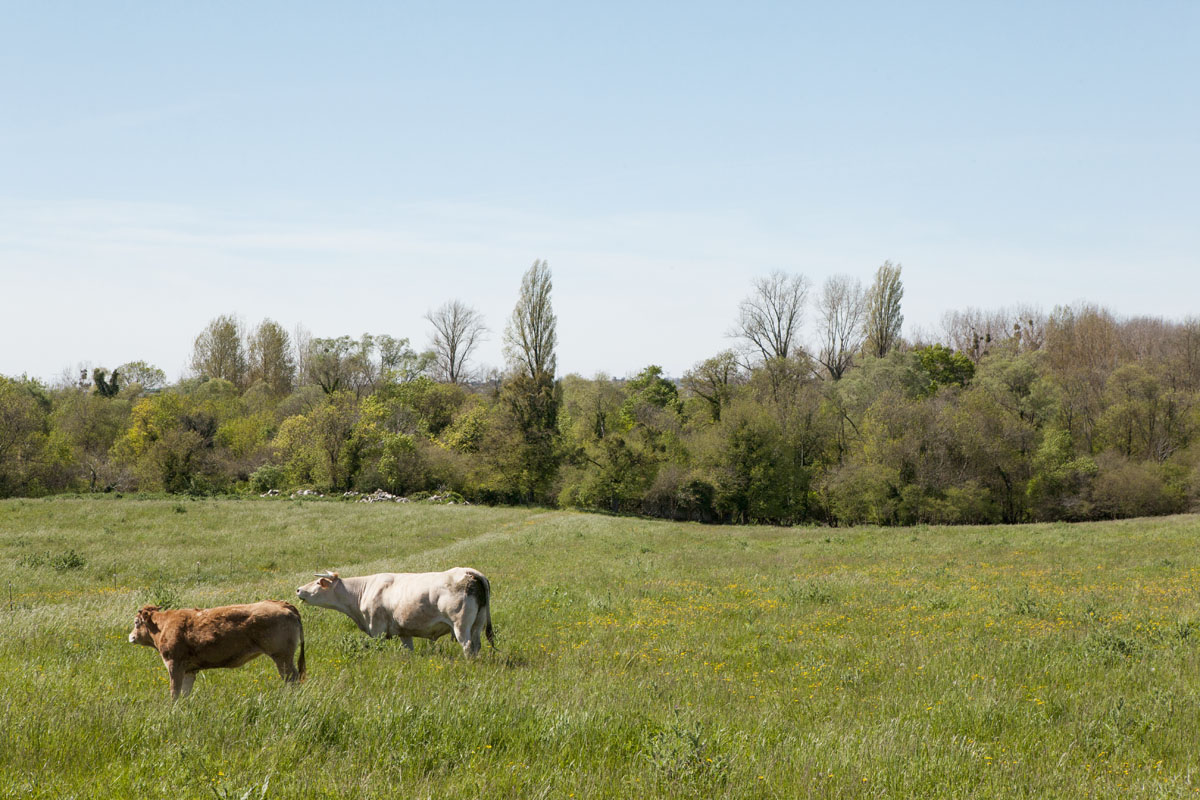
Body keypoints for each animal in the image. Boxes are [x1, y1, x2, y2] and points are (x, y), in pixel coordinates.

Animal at [128, 597, 307, 695]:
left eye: (136, 622)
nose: (131, 636)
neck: (164, 625)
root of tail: (283, 604)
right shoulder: (189, 670)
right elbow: (185, 692)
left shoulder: (174, 664)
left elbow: (175, 691)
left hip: (282, 656)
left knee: (291, 678)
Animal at [297, 568, 494, 657]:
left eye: (318, 583)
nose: (299, 589)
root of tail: (469, 572)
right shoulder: (404, 632)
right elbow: (409, 650)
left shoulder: (377, 628)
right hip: (478, 623)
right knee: (477, 645)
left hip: (461, 626)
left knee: (468, 646)